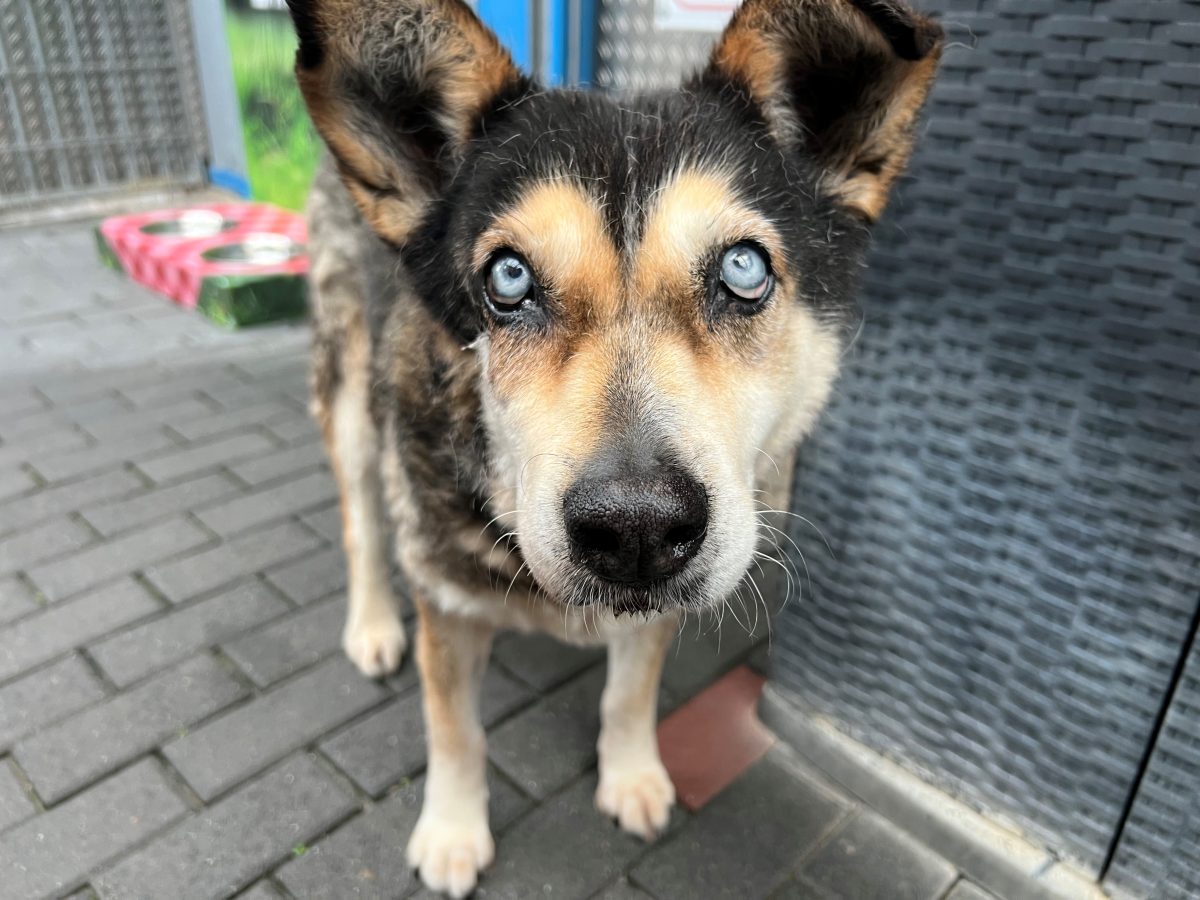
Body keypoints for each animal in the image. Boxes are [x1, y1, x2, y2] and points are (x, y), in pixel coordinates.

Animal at [284, 0, 941, 894]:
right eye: (508, 280)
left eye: (744, 269)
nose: (636, 529)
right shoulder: (446, 601)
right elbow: (453, 727)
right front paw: (452, 832)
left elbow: (631, 692)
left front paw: (631, 776)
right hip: (351, 394)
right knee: (360, 518)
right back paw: (374, 625)